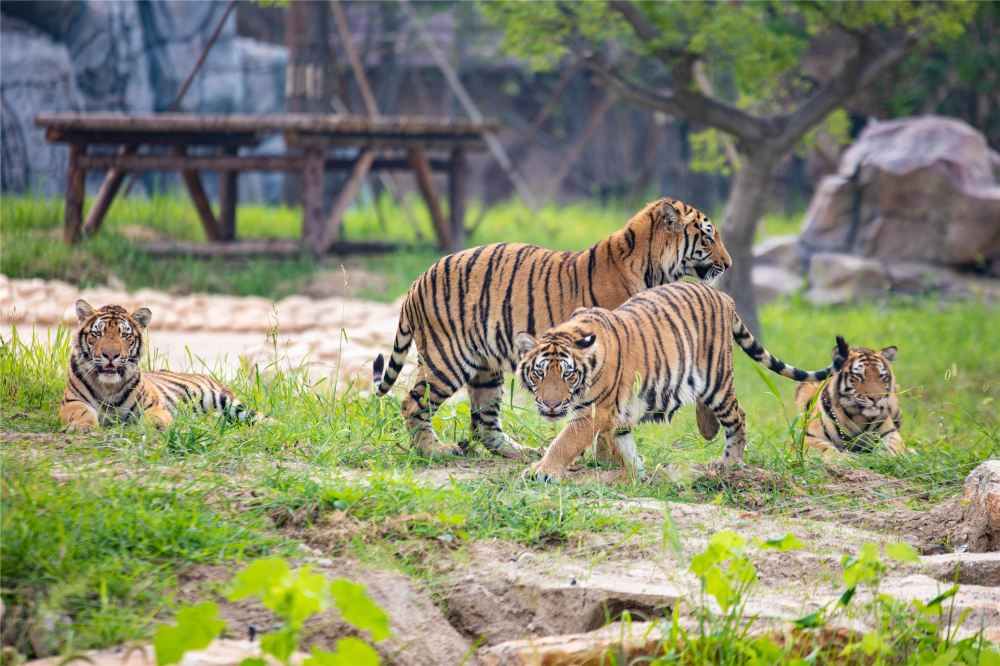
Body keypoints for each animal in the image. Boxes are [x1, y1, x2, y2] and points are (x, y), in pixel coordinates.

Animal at [60, 300, 260, 428]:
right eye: (97, 334)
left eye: (125, 335)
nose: (110, 355)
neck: (108, 386)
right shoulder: (72, 402)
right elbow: (83, 413)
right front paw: (82, 426)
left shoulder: (153, 406)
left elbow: (156, 419)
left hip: (227, 401)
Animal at [372, 195, 732, 460]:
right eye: (708, 235)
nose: (728, 264)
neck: (655, 269)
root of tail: (417, 281)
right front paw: (605, 460)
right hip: (448, 358)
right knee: (413, 403)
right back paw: (435, 451)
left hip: (485, 368)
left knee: (486, 422)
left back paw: (519, 452)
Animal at [512, 282, 848, 482]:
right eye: (539, 373)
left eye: (567, 374)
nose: (551, 404)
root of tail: (723, 296)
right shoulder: (618, 415)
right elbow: (624, 446)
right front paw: (635, 476)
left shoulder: (592, 413)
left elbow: (563, 442)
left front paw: (541, 472)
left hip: (717, 380)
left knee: (738, 417)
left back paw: (730, 463)